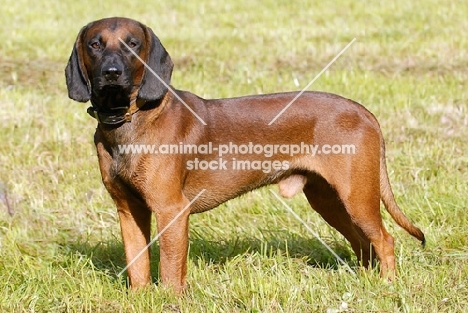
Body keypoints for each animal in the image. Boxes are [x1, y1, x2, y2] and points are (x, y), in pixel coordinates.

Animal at [64, 16, 426, 292]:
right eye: (95, 44)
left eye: (133, 44)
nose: (112, 73)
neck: (129, 120)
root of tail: (364, 112)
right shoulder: (129, 210)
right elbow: (136, 263)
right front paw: (140, 298)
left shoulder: (172, 210)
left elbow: (169, 268)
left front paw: (170, 300)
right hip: (329, 200)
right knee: (363, 244)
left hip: (357, 197)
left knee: (385, 240)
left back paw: (388, 286)